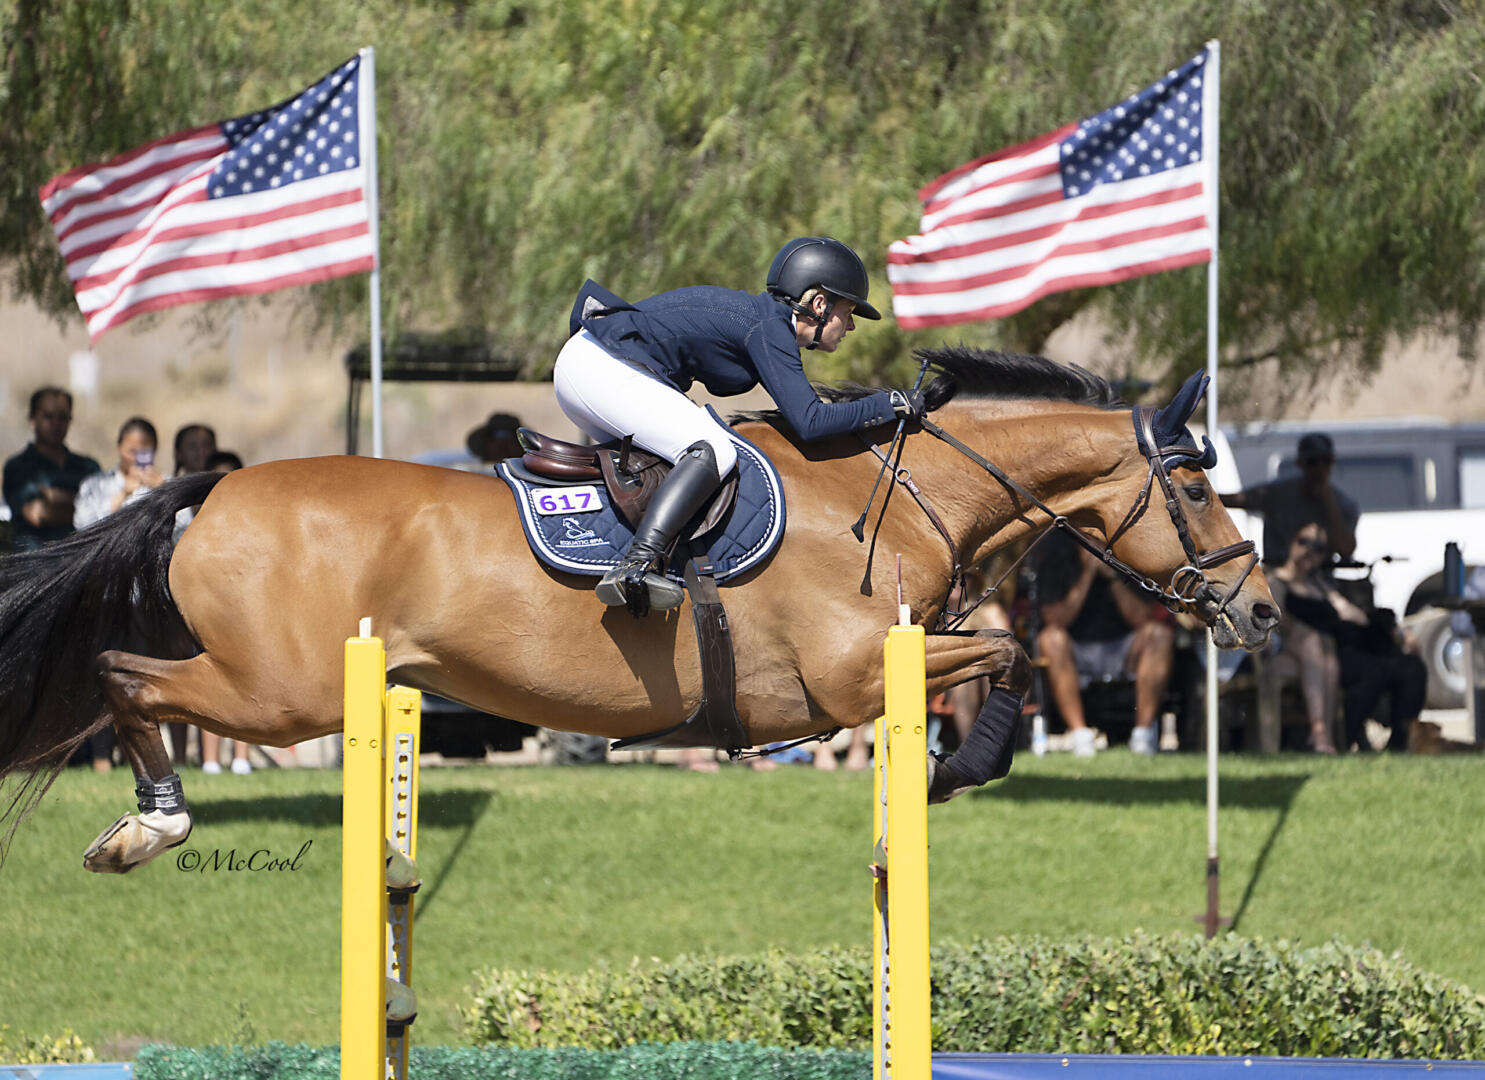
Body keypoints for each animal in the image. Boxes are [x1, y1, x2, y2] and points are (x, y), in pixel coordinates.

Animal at [0, 350, 1277, 873]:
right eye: (1198, 487)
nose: (1263, 615)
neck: (896, 492)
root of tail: (212, 487)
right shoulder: (853, 679)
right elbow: (1008, 651)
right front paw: (958, 771)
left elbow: (999, 650)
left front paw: (951, 772)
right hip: (284, 693)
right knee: (121, 675)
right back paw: (151, 828)